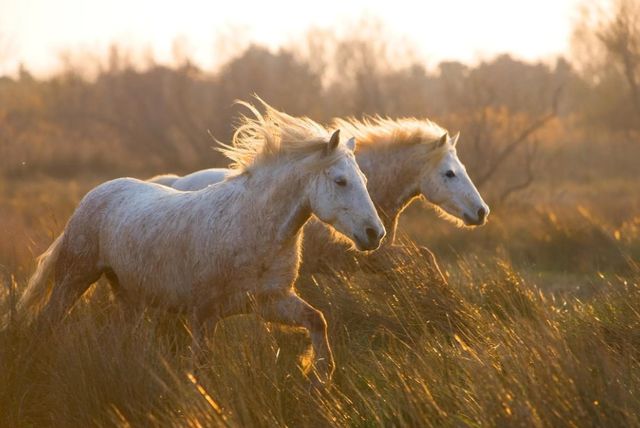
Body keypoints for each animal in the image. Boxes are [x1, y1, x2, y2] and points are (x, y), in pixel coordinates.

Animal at [16, 100, 386, 387]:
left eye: (364, 179)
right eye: (340, 181)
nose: (374, 234)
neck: (251, 228)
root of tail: (94, 195)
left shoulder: (271, 301)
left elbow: (317, 321)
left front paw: (320, 378)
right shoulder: (204, 314)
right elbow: (201, 368)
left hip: (129, 295)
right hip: (75, 278)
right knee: (48, 321)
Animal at [148, 116, 490, 277]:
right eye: (450, 173)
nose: (481, 212)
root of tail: (174, 183)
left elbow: (424, 256)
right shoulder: (354, 260)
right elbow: (424, 256)